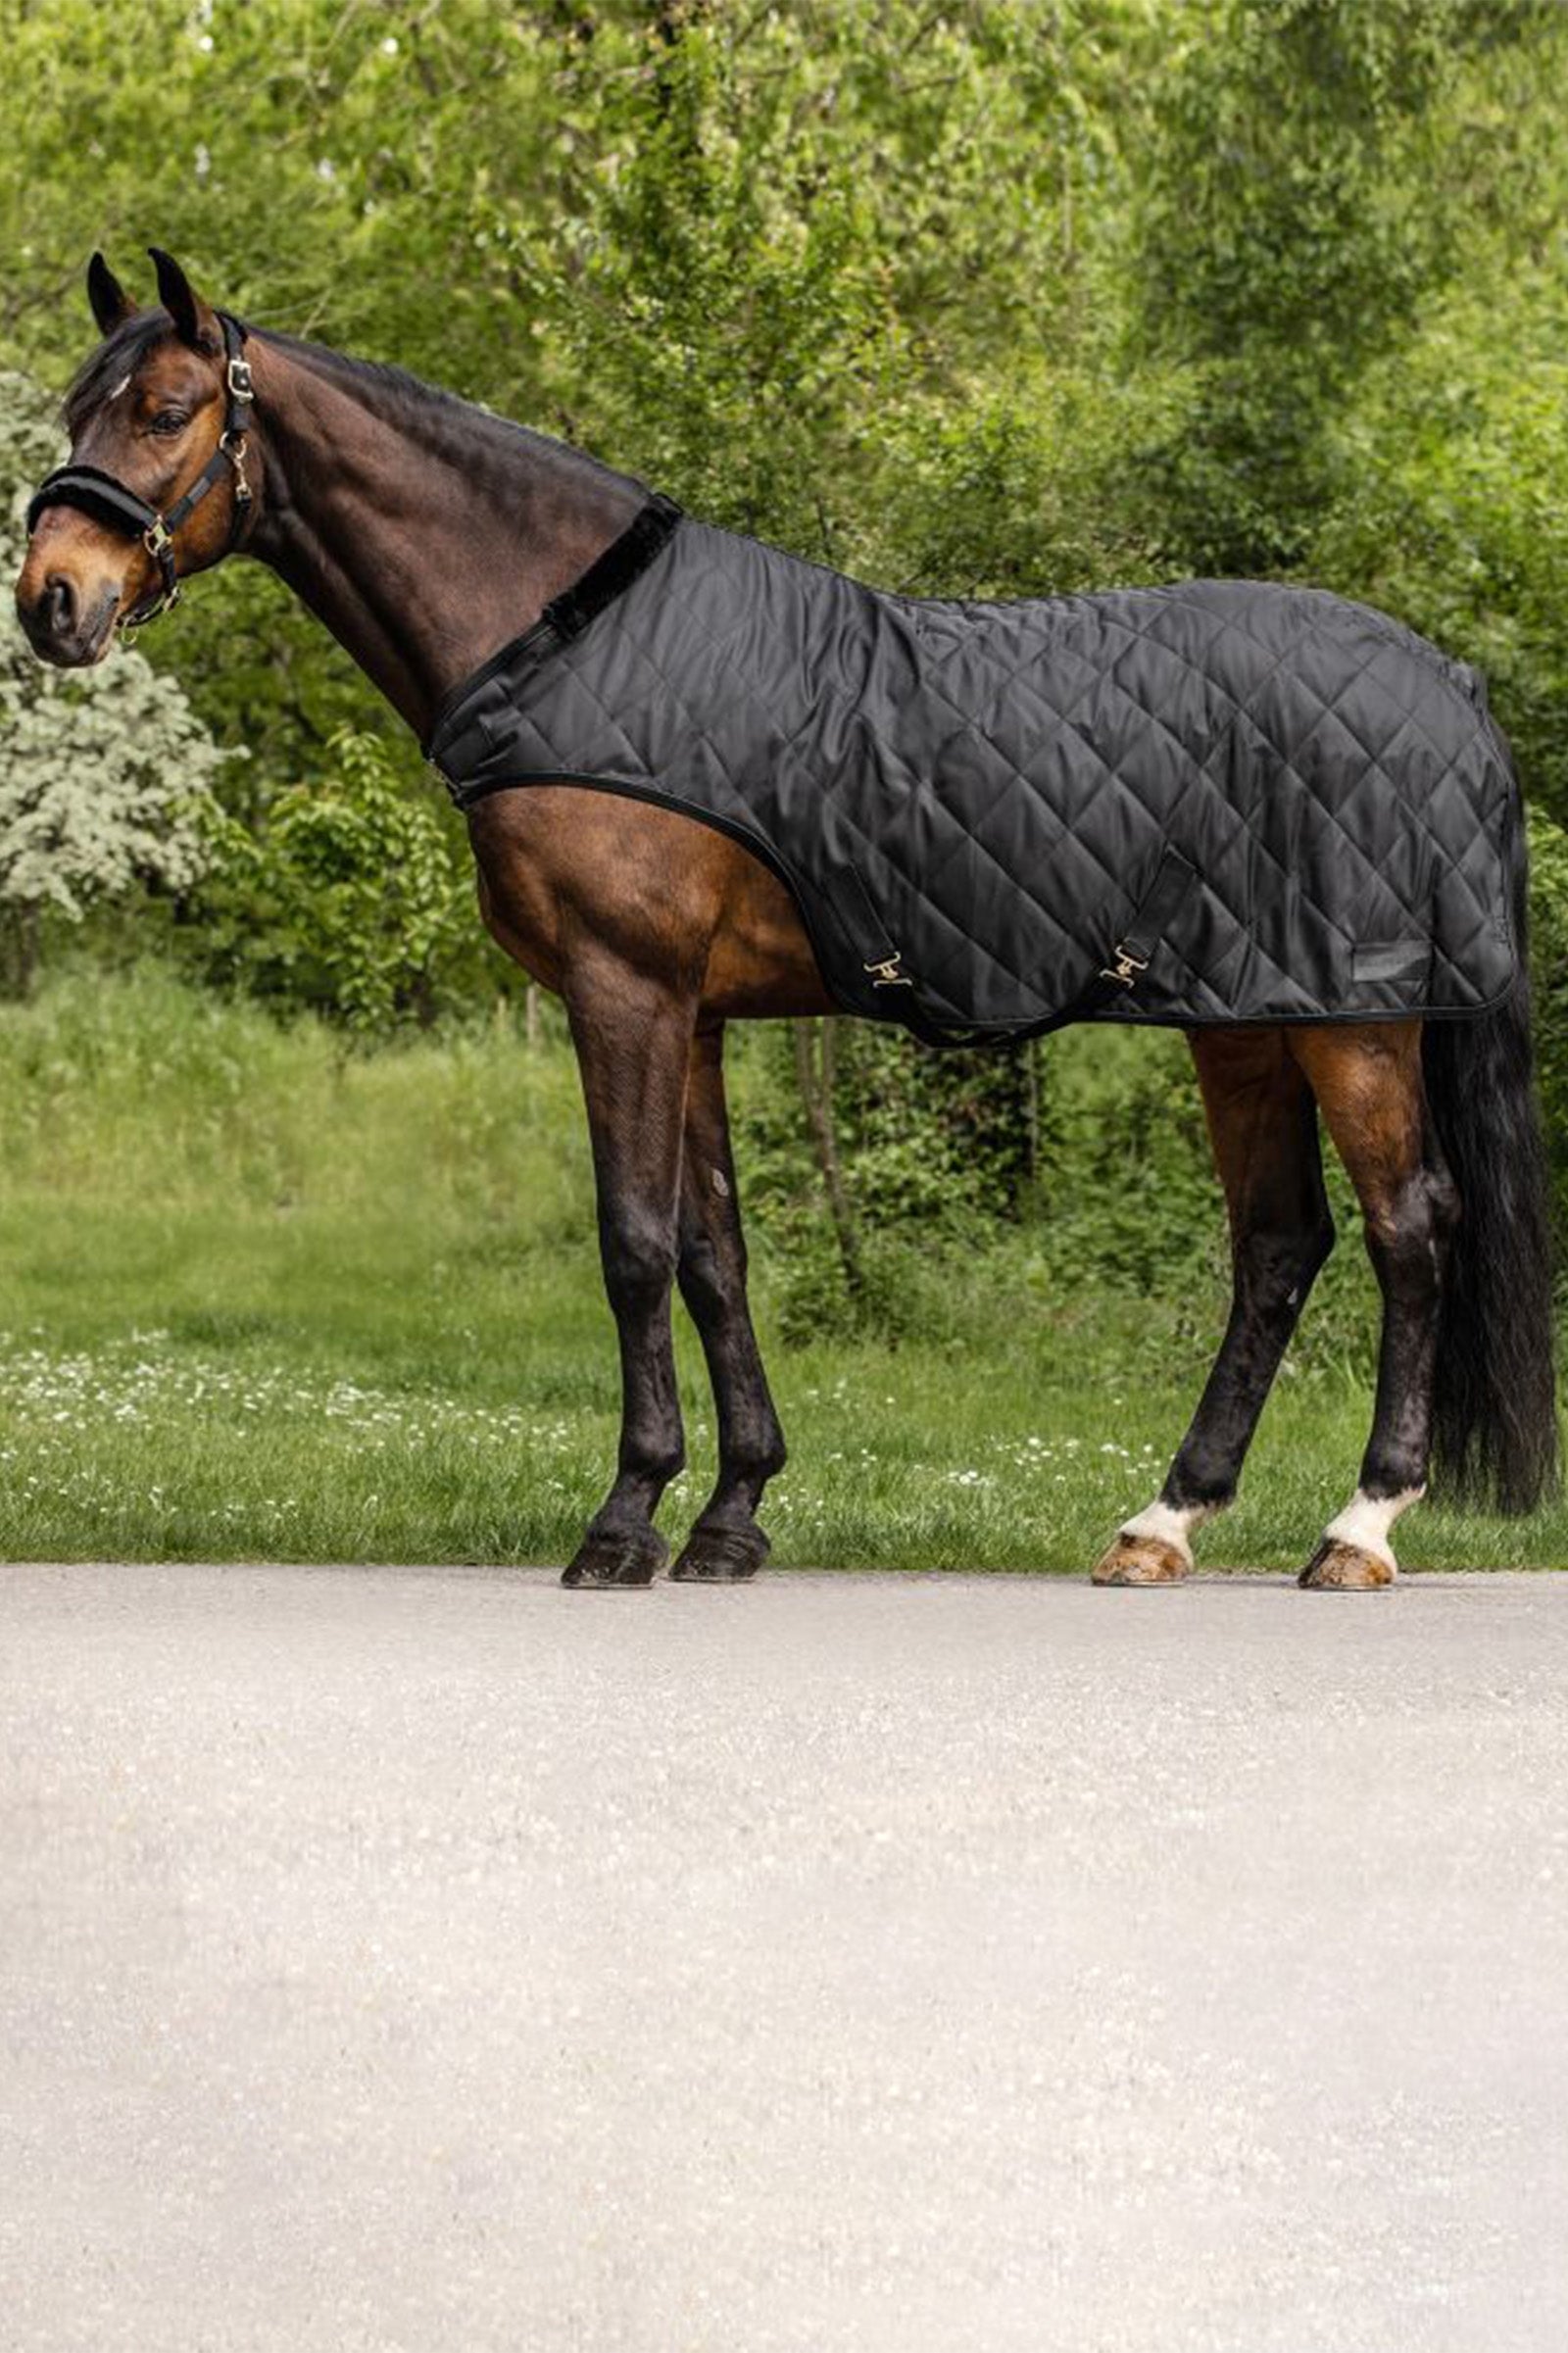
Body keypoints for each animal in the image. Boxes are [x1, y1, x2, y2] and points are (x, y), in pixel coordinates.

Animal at [14, 248, 1558, 1590]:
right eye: (76, 408)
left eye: (164, 411)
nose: (53, 603)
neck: (567, 637)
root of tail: (1451, 686)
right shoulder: (686, 1010)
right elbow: (716, 1253)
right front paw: (731, 1513)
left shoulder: (623, 988)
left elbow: (634, 1242)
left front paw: (624, 1521)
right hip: (1242, 1019)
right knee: (1279, 1246)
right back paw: (1162, 1522)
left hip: (1354, 1022)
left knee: (1409, 1230)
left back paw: (1360, 1526)